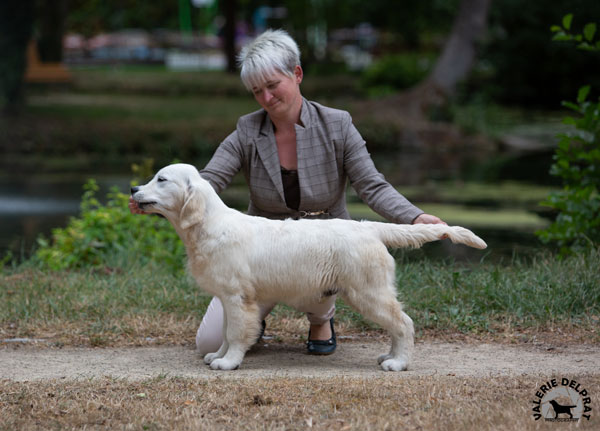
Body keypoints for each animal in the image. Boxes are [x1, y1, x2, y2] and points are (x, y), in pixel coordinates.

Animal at [131, 164, 488, 372]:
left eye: (161, 179)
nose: (133, 190)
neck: (208, 225)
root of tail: (369, 228)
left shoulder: (237, 296)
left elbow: (235, 332)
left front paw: (229, 362)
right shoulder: (228, 298)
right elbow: (224, 332)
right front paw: (217, 355)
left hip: (368, 292)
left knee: (403, 322)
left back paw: (398, 363)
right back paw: (389, 356)